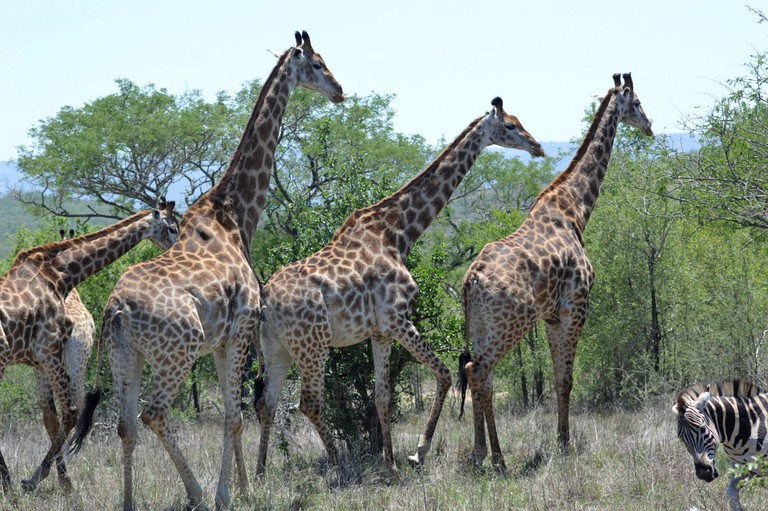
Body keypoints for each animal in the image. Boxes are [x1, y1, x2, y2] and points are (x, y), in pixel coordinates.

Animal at [0, 204, 177, 496]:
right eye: (172, 227)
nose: (179, 245)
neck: (60, 274)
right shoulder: (50, 349)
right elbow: (71, 411)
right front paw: (36, 479)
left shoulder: (40, 361)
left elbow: (53, 416)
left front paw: (58, 480)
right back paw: (8, 483)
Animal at [71, 30, 342, 510]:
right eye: (316, 64)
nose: (340, 91)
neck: (234, 214)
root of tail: (115, 309)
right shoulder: (241, 330)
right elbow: (233, 417)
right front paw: (226, 494)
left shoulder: (222, 340)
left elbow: (235, 415)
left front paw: (245, 487)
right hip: (176, 353)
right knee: (154, 413)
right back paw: (195, 492)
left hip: (126, 357)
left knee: (126, 425)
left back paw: (129, 501)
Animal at [255, 97, 544, 480]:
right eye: (510, 125)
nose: (537, 146)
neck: (398, 232)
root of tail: (265, 304)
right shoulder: (397, 318)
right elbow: (443, 373)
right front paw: (418, 453)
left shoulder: (379, 331)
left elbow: (382, 396)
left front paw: (390, 464)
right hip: (312, 345)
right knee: (310, 402)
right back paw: (340, 468)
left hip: (277, 347)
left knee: (267, 402)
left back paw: (258, 475)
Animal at [462, 73, 656, 472]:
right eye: (638, 102)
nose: (650, 126)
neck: (575, 209)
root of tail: (470, 280)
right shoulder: (576, 307)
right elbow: (566, 379)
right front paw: (564, 444)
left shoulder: (552, 316)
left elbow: (555, 379)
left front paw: (559, 440)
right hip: (511, 324)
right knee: (477, 371)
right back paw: (485, 456)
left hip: (482, 327)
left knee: (483, 377)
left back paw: (493, 456)